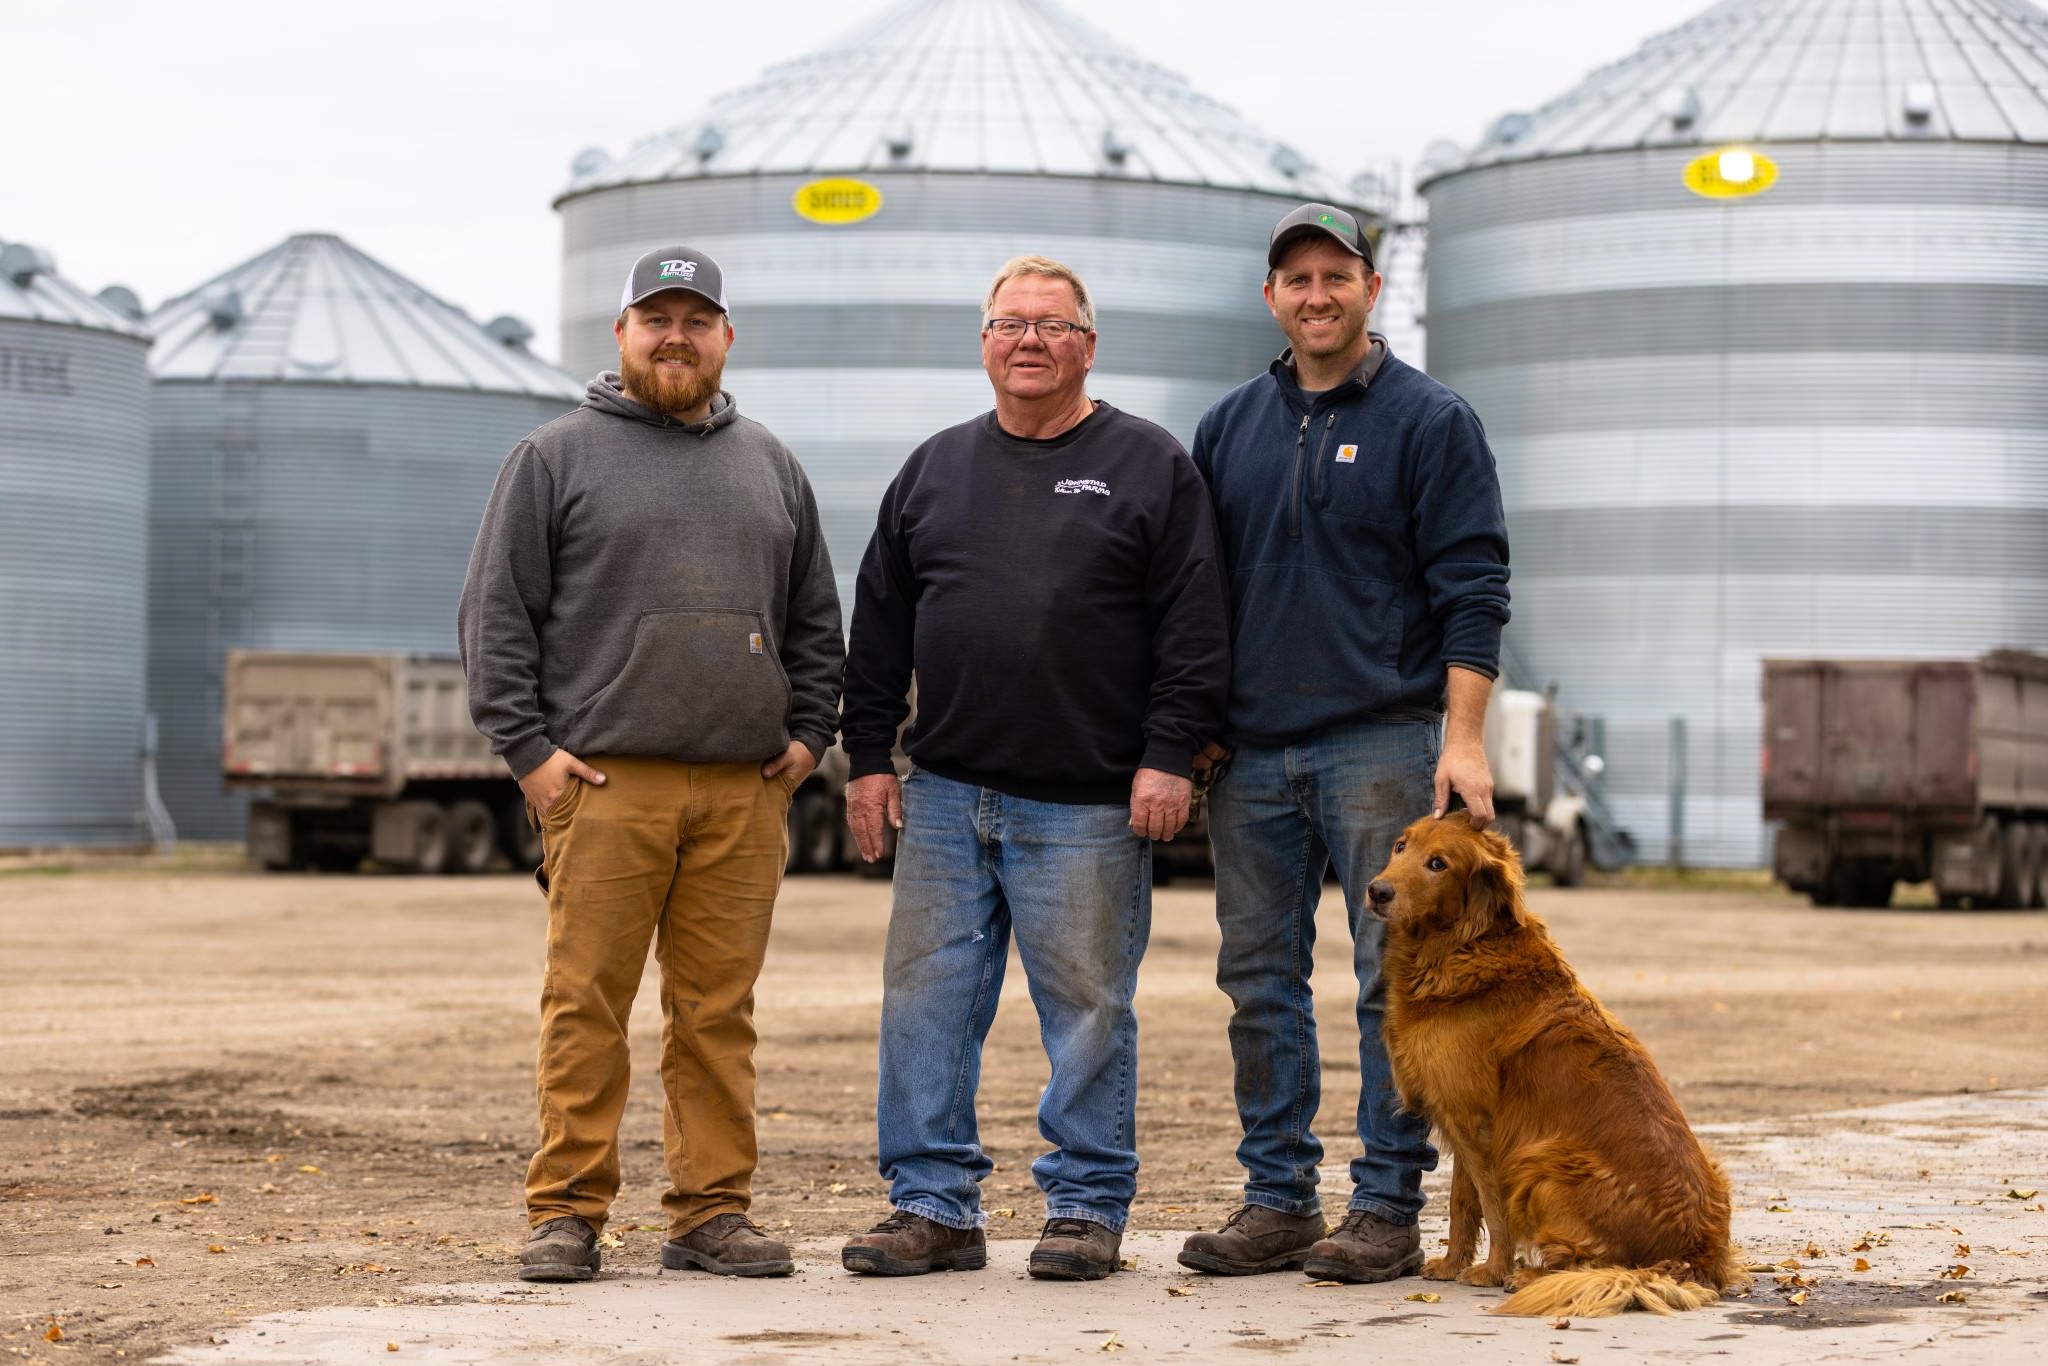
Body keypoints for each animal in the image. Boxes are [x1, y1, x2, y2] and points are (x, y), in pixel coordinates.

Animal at [1376, 810, 1744, 1310]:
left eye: (1438, 864)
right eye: (1400, 847)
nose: (1377, 891)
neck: (1463, 946)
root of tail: (1695, 1256)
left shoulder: (1484, 1128)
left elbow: (1494, 1207)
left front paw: (1491, 1271)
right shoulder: (1460, 1119)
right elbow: (1461, 1202)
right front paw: (1452, 1265)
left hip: (1544, 1159)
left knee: (1595, 1260)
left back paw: (1532, 1276)